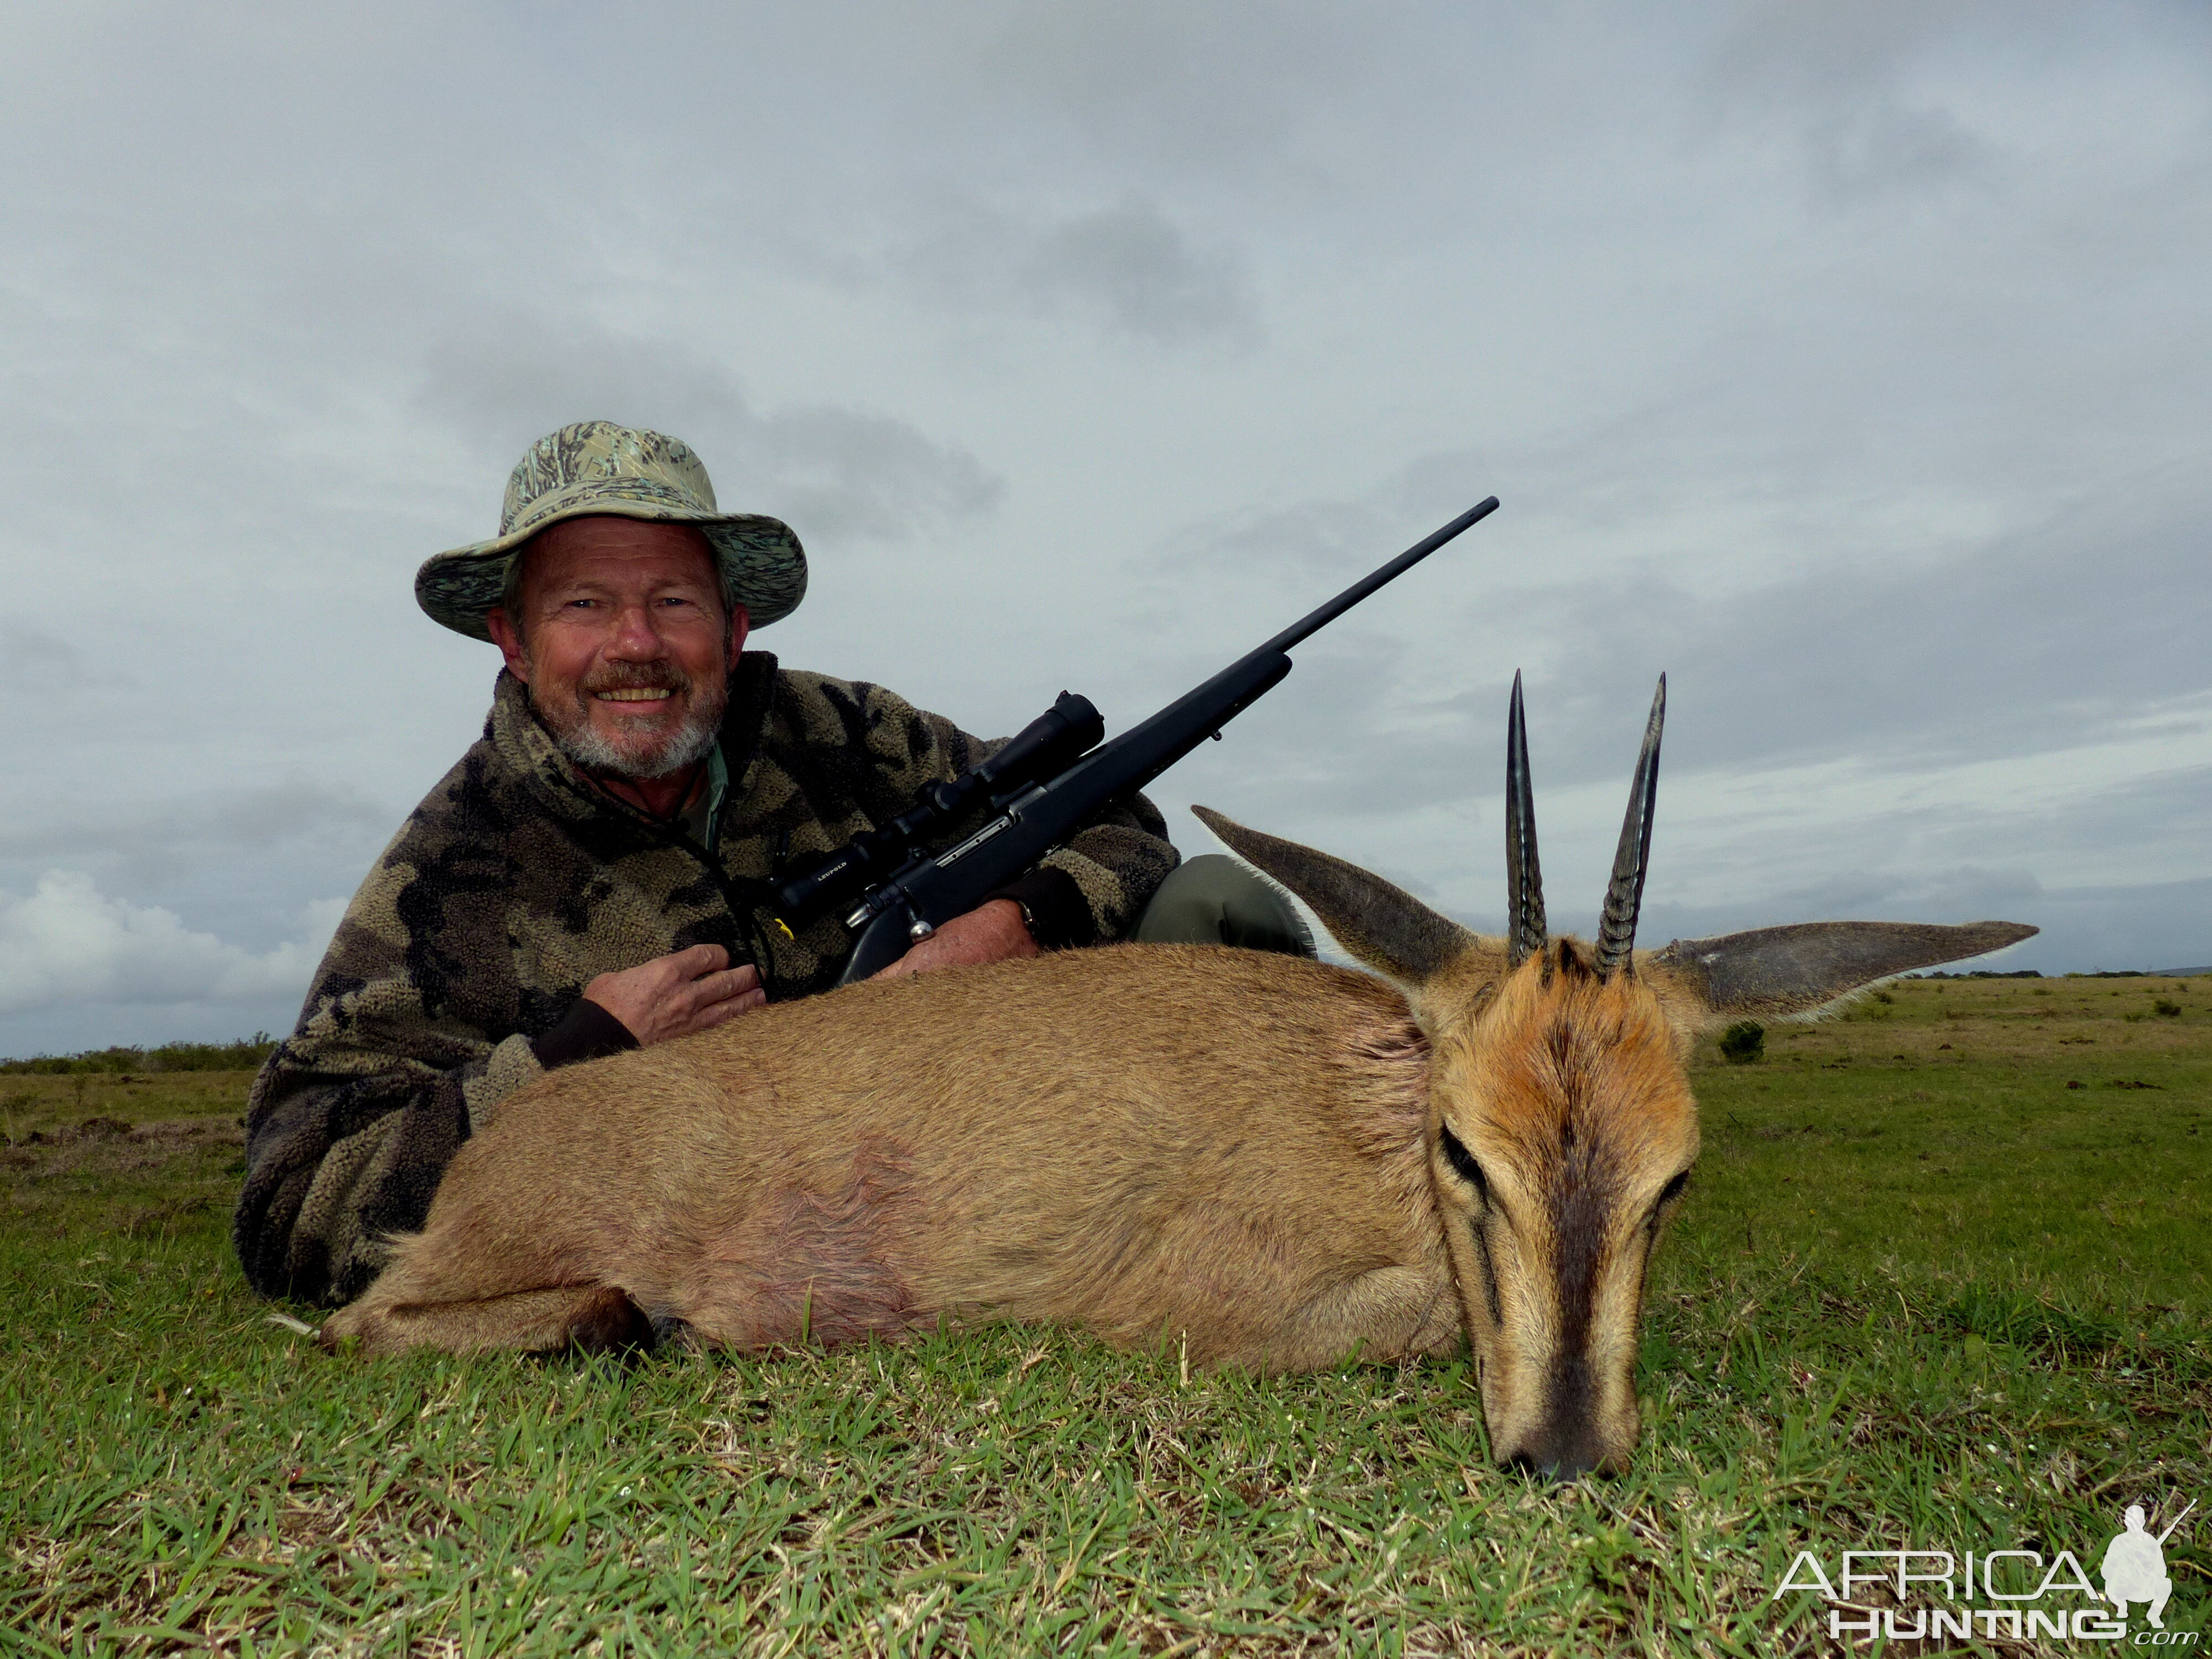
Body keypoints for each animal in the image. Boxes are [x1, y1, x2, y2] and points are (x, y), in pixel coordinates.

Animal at [321, 677, 2026, 1478]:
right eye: (1465, 1154)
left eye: (1675, 1179)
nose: (1561, 1455)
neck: (1359, 1112)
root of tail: (487, 1154)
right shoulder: (1216, 1314)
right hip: (500, 1271)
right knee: (380, 1323)